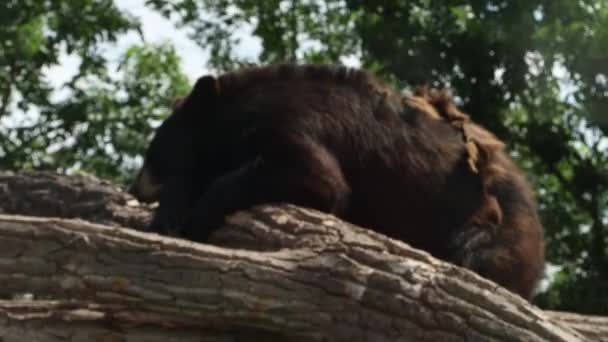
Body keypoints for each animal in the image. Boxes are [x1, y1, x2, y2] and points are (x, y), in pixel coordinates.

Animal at [129, 63, 548, 300]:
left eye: (153, 150)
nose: (135, 187)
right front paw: (170, 211)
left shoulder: (297, 123)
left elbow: (319, 178)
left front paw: (194, 217)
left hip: (497, 230)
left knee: (474, 252)